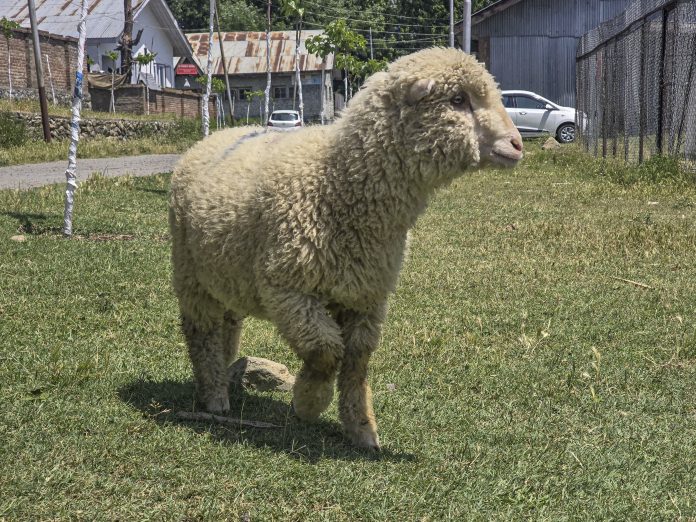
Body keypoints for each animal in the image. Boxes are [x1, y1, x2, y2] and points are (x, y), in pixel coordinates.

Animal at [169, 47, 523, 449]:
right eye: (458, 100)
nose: (517, 144)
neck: (336, 184)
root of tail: (215, 136)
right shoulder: (288, 290)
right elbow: (325, 349)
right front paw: (309, 400)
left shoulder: (366, 297)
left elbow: (356, 363)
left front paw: (362, 428)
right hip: (190, 273)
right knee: (200, 331)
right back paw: (214, 395)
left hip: (226, 274)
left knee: (226, 325)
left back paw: (223, 371)